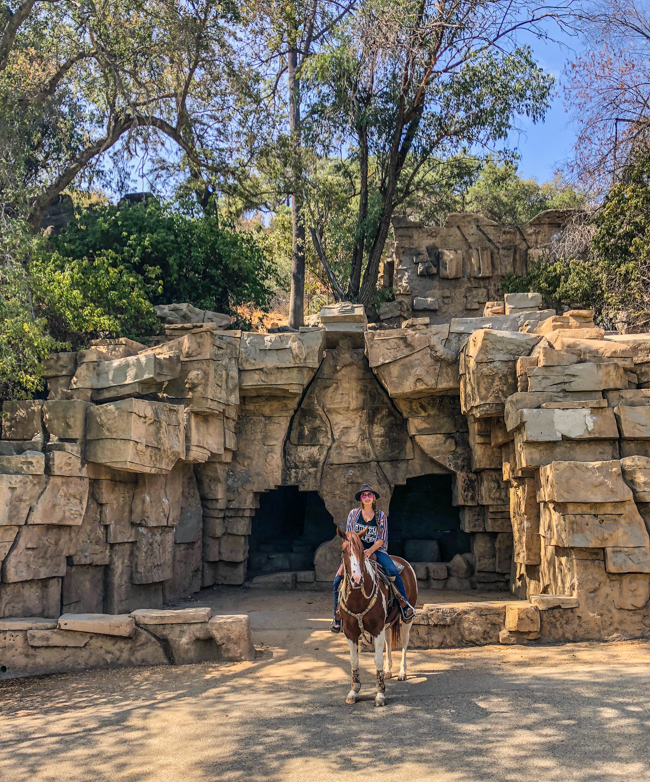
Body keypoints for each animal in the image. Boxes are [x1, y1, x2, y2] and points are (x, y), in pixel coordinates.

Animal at [332, 528, 418, 708]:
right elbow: (354, 661)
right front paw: (354, 691)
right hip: (387, 623)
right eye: (343, 551)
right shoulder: (350, 631)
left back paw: (402, 672)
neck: (358, 598)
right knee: (389, 641)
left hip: (406, 620)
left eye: (361, 551)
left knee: (404, 642)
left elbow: (377, 659)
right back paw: (388, 670)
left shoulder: (377, 628)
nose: (357, 579)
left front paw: (380, 694)